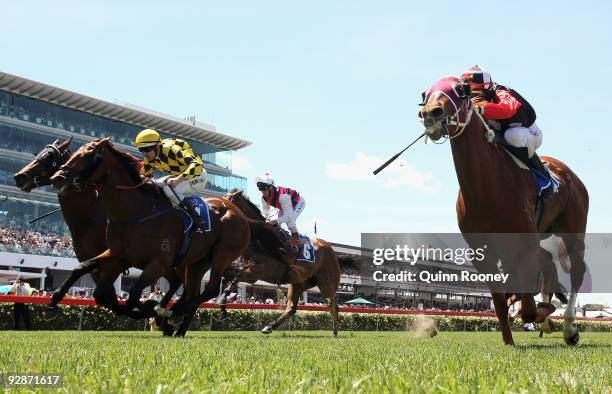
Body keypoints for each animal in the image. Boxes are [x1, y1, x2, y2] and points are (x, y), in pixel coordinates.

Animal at [13, 139, 182, 324]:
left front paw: (146, 307)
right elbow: (104, 297)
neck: (88, 217)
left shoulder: (115, 263)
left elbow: (108, 297)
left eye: (49, 156)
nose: (19, 176)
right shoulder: (98, 263)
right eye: (39, 153)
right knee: (176, 281)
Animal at [47, 137, 256, 338]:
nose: (56, 178)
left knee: (209, 290)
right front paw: (52, 304)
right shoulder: (117, 255)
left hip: (222, 255)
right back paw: (179, 328)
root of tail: (240, 214)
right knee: (193, 292)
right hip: (198, 262)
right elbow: (84, 270)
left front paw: (154, 311)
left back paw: (174, 314)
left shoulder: (159, 263)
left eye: (85, 155)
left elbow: (133, 295)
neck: (135, 213)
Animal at [219, 189, 358, 338]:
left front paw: (222, 300)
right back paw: (269, 327)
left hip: (327, 282)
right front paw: (222, 306)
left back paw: (334, 333)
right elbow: (227, 275)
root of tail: (333, 253)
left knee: (333, 306)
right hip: (299, 282)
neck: (261, 237)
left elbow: (236, 276)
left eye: (228, 201)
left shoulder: (261, 270)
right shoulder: (252, 274)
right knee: (292, 308)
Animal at [420, 76, 588, 344]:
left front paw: (543, 312)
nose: (430, 114)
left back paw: (569, 327)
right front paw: (510, 339)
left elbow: (527, 309)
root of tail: (568, 173)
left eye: (459, 90)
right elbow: (501, 301)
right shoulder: (484, 251)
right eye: (425, 94)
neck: (486, 188)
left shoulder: (524, 243)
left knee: (576, 272)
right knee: (548, 265)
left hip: (573, 230)